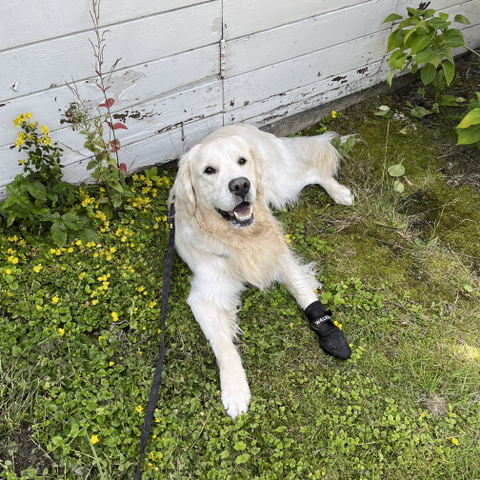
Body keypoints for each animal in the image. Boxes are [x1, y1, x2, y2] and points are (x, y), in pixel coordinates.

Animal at [170, 124, 352, 420]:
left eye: (241, 161)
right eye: (209, 170)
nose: (241, 184)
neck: (238, 238)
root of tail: (242, 126)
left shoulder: (278, 253)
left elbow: (304, 293)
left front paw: (329, 331)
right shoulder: (203, 297)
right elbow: (223, 345)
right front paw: (235, 389)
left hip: (281, 183)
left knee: (314, 170)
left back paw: (339, 192)